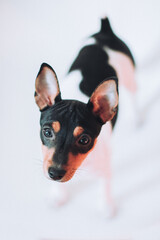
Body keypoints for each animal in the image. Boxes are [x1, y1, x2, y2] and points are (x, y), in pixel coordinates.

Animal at [34, 16, 136, 215]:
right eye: (47, 132)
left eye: (84, 140)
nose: (55, 173)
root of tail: (105, 31)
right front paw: (58, 195)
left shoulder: (105, 164)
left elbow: (105, 184)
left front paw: (105, 206)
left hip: (129, 74)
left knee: (135, 95)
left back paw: (138, 118)